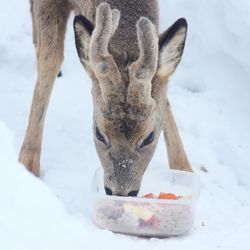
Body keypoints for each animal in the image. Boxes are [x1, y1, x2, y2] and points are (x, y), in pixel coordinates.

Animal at [20, 0, 193, 196]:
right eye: (99, 133)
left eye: (149, 137)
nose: (120, 193)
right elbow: (50, 60)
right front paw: (28, 166)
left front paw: (184, 168)